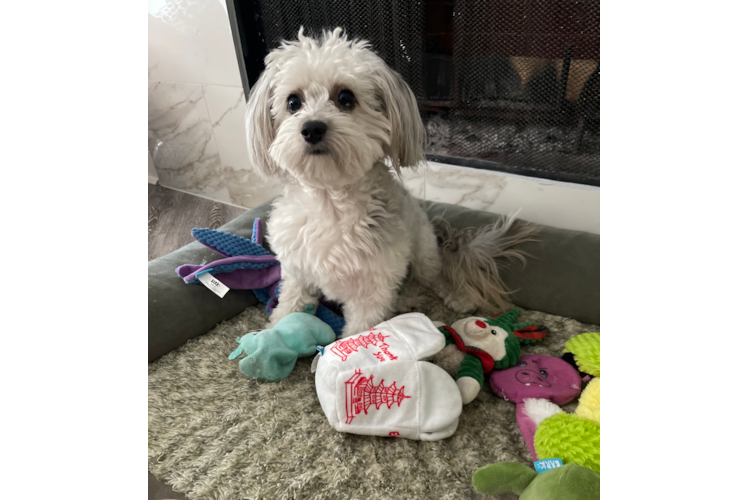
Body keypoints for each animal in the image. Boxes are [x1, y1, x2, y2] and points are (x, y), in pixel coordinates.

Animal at [244, 28, 532, 340]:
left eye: (345, 97)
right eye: (293, 102)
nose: (311, 128)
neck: (330, 202)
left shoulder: (371, 292)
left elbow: (358, 332)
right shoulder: (297, 273)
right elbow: (289, 306)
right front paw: (274, 333)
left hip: (423, 251)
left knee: (435, 275)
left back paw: (448, 295)